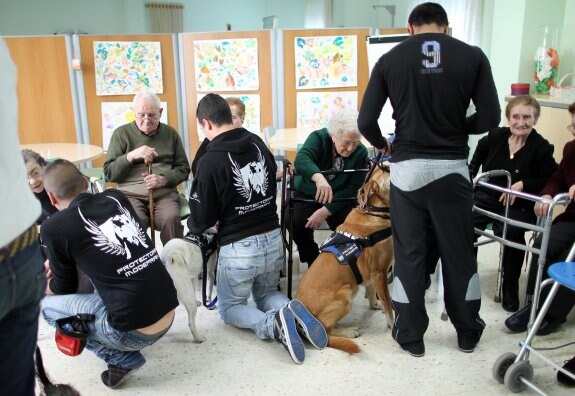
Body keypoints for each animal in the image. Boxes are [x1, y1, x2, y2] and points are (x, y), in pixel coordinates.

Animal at [294, 162, 394, 354]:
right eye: (386, 169)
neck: (372, 213)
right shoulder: (380, 272)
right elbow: (387, 302)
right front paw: (393, 325)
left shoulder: (369, 273)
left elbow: (371, 291)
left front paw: (374, 305)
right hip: (346, 295)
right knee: (326, 332)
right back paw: (349, 332)